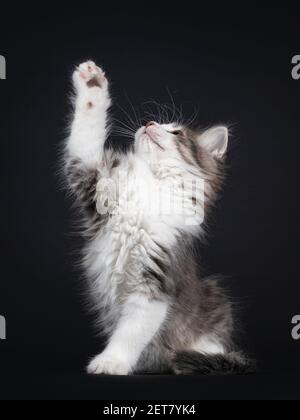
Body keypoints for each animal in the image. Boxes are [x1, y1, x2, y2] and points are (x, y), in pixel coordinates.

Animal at [62, 60, 253, 376]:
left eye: (176, 133)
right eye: (154, 124)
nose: (149, 123)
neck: (153, 182)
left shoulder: (155, 277)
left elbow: (131, 331)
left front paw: (112, 361)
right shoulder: (95, 177)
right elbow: (85, 136)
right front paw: (91, 85)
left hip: (214, 294)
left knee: (215, 344)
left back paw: (201, 355)